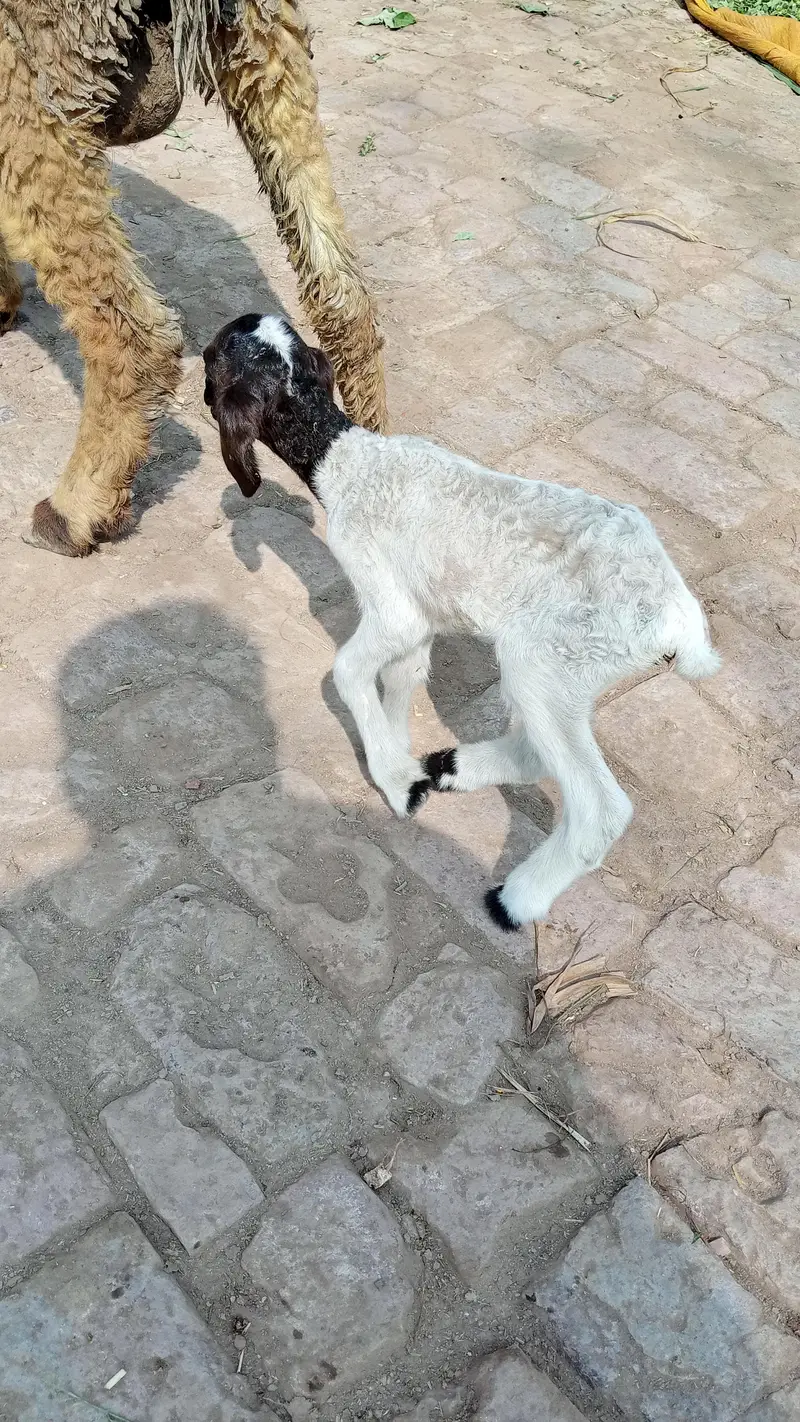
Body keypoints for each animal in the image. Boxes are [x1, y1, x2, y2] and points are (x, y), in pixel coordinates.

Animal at [202, 312, 721, 931]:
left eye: (208, 358)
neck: (345, 460)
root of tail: (679, 618)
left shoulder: (392, 607)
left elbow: (348, 672)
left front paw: (394, 781)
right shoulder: (418, 614)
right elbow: (401, 676)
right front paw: (400, 757)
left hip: (551, 658)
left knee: (598, 807)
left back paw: (515, 899)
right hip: (565, 670)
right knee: (537, 748)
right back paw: (451, 767)